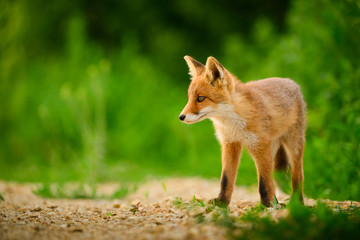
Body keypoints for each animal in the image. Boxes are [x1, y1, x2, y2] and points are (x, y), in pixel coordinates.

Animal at [179, 55, 306, 206]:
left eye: (200, 98)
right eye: (189, 98)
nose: (181, 117)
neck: (234, 123)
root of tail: (291, 82)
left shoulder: (259, 146)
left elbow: (263, 182)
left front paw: (267, 205)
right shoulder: (230, 144)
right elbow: (226, 179)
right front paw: (222, 202)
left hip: (294, 146)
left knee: (297, 175)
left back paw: (297, 203)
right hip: (272, 149)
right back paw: (277, 201)